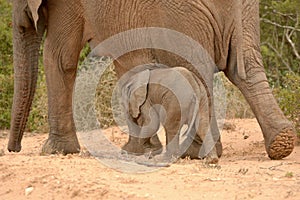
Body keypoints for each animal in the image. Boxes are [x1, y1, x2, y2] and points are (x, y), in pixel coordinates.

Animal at [8, 0, 296, 159]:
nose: (14, 149)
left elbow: (58, 58)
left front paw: (54, 151)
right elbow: (128, 67)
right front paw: (143, 149)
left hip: (181, 14)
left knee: (194, 67)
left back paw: (194, 153)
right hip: (246, 13)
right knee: (246, 66)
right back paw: (281, 142)